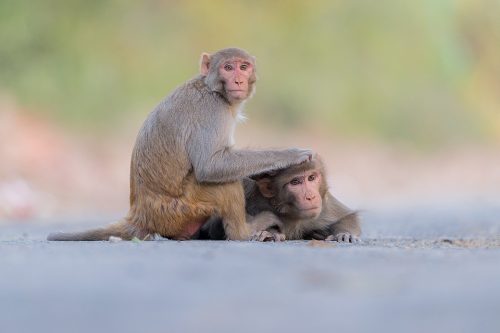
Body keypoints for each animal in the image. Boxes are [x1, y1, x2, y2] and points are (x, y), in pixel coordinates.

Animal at [47, 46, 312, 240]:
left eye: (243, 67)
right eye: (228, 67)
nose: (238, 81)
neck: (213, 89)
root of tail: (139, 215)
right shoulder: (211, 111)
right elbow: (211, 165)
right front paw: (290, 155)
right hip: (183, 209)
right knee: (222, 182)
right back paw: (244, 233)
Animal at [197, 156, 362, 241]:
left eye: (312, 178)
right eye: (295, 182)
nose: (311, 196)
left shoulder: (323, 206)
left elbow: (348, 216)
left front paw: (345, 235)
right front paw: (269, 232)